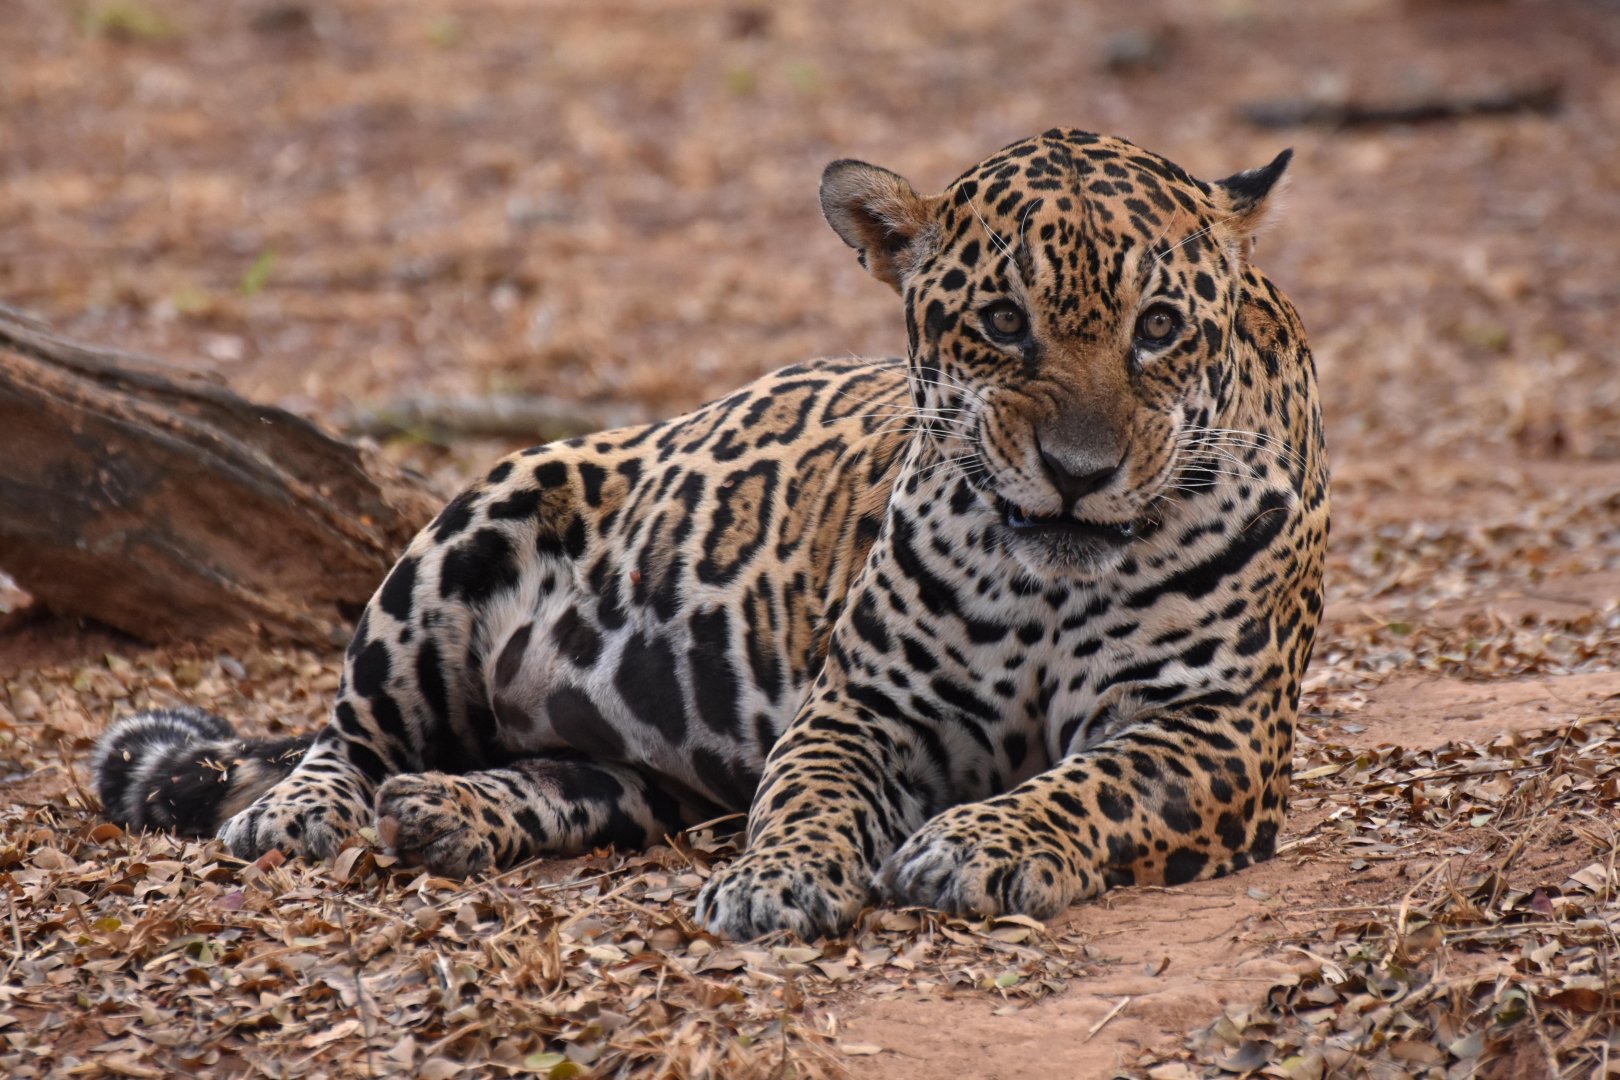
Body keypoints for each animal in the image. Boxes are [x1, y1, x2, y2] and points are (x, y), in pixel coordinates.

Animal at [95, 128, 1328, 940]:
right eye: (1001, 321)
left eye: (1158, 327)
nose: (1080, 474)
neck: (1051, 585)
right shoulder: (861, 707)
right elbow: (808, 795)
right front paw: (773, 882)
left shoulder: (1215, 728)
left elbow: (1087, 785)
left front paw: (977, 844)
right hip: (479, 518)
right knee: (348, 736)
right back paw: (308, 811)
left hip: (639, 770)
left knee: (569, 781)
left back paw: (449, 814)